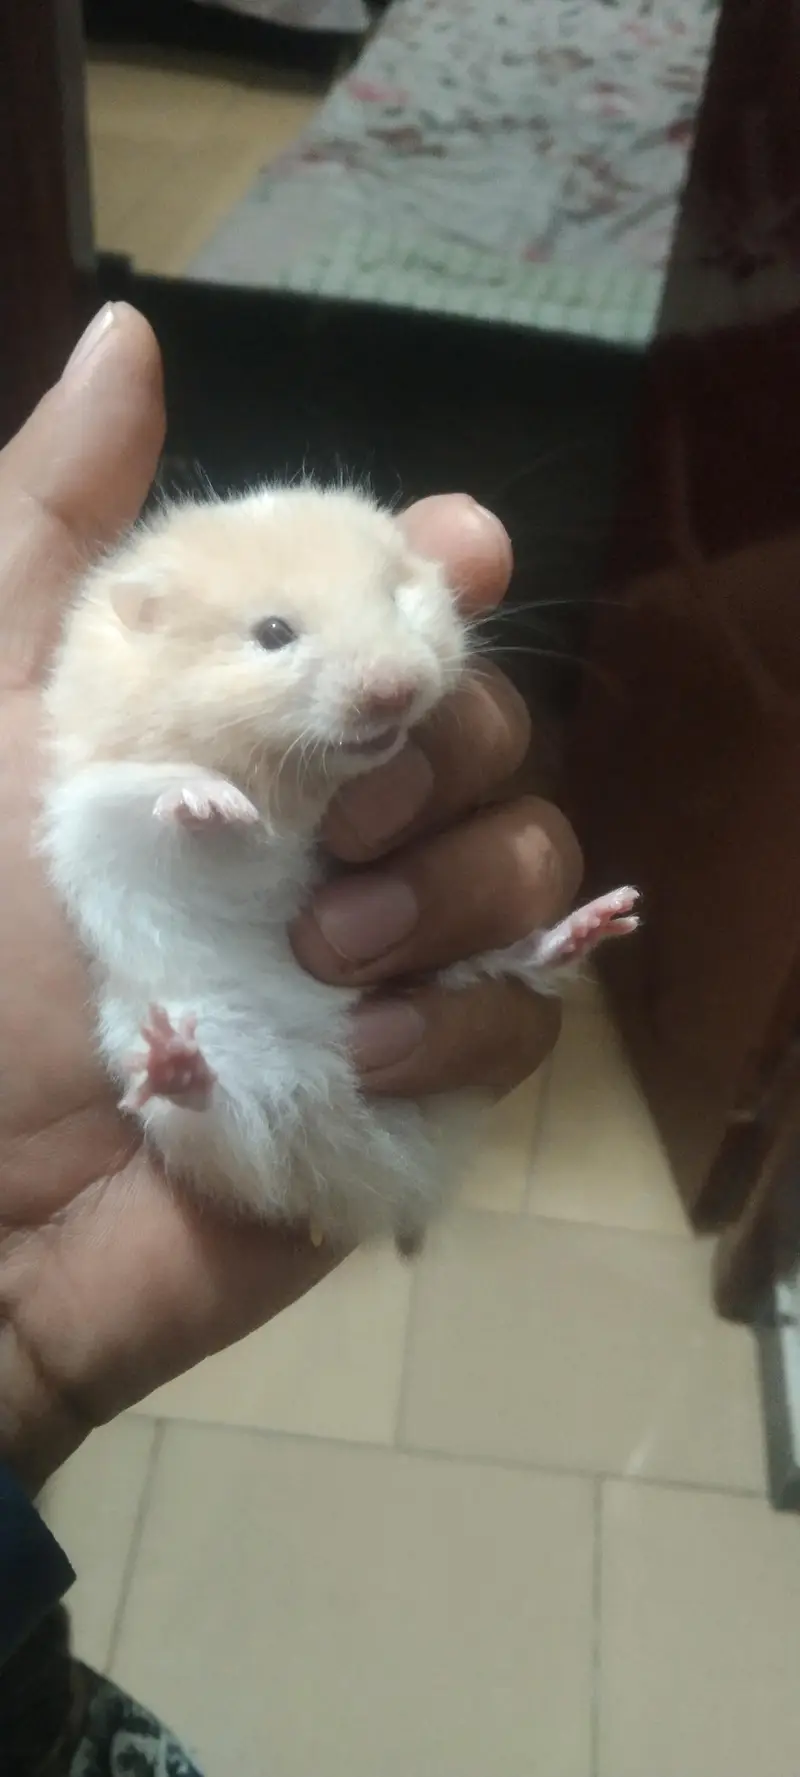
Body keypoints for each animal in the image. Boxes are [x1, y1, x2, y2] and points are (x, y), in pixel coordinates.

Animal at [40, 484, 639, 1253]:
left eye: (395, 597)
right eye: (273, 633)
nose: (395, 692)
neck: (296, 782)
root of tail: (367, 1164)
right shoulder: (102, 798)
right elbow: (176, 796)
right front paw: (216, 804)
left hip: (453, 976)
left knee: (517, 964)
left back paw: (605, 917)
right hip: (189, 1092)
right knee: (219, 1121)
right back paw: (175, 1059)